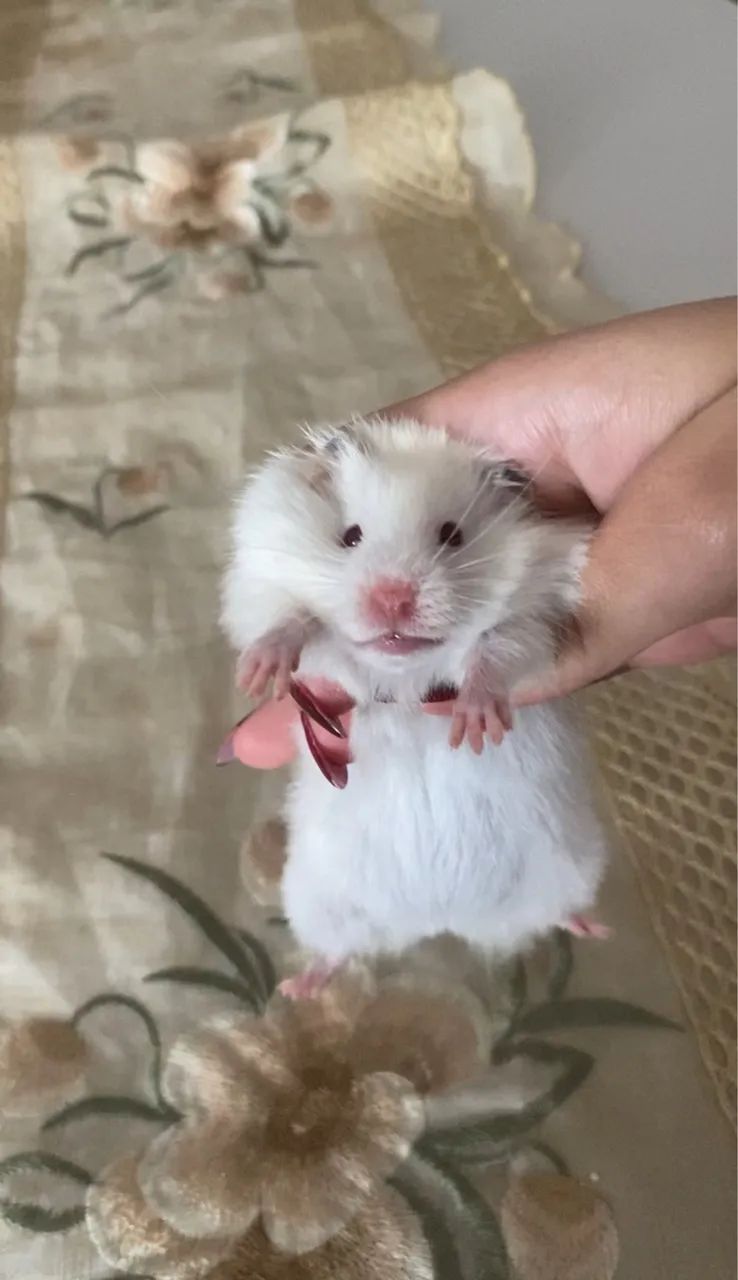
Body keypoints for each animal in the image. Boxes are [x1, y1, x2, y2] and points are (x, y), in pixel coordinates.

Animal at [221, 416, 610, 991]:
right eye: (350, 536)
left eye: (452, 534)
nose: (393, 599)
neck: (403, 677)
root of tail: (437, 921)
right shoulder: (266, 583)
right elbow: (293, 621)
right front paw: (258, 673)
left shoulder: (536, 619)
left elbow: (496, 651)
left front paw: (477, 724)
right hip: (317, 903)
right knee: (335, 952)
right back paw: (297, 987)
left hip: (570, 867)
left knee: (555, 914)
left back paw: (595, 928)